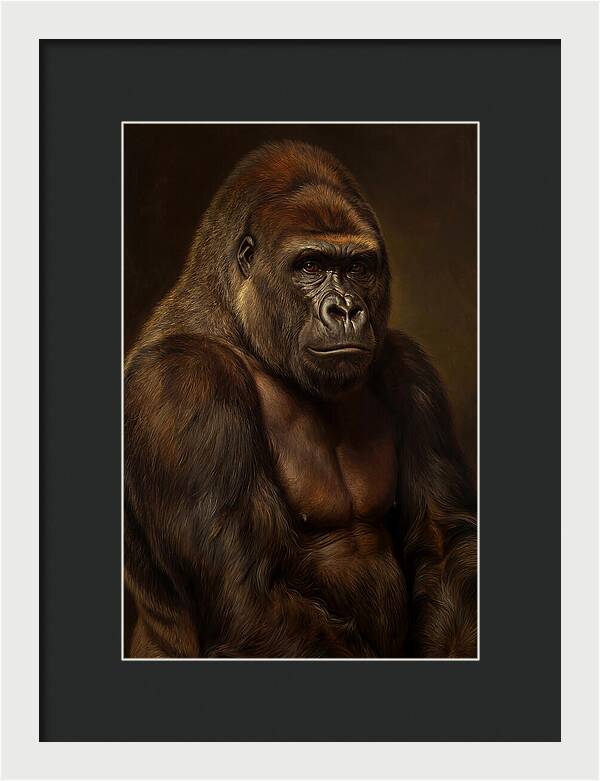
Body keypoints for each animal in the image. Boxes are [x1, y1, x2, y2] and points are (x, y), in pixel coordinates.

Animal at [124, 140, 477, 658]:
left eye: (357, 267)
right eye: (310, 265)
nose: (346, 309)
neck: (240, 326)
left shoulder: (411, 370)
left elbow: (443, 542)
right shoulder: (183, 382)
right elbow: (248, 596)